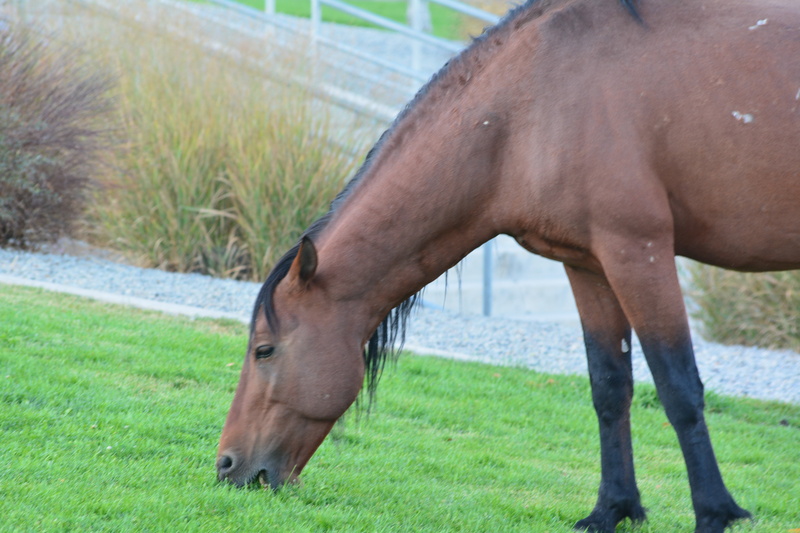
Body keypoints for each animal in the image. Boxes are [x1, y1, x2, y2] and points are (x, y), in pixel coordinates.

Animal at [216, 0, 800, 531]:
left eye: (264, 350)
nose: (225, 465)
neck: (527, 110)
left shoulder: (639, 251)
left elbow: (678, 387)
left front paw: (716, 514)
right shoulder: (588, 265)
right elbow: (609, 387)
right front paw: (611, 511)